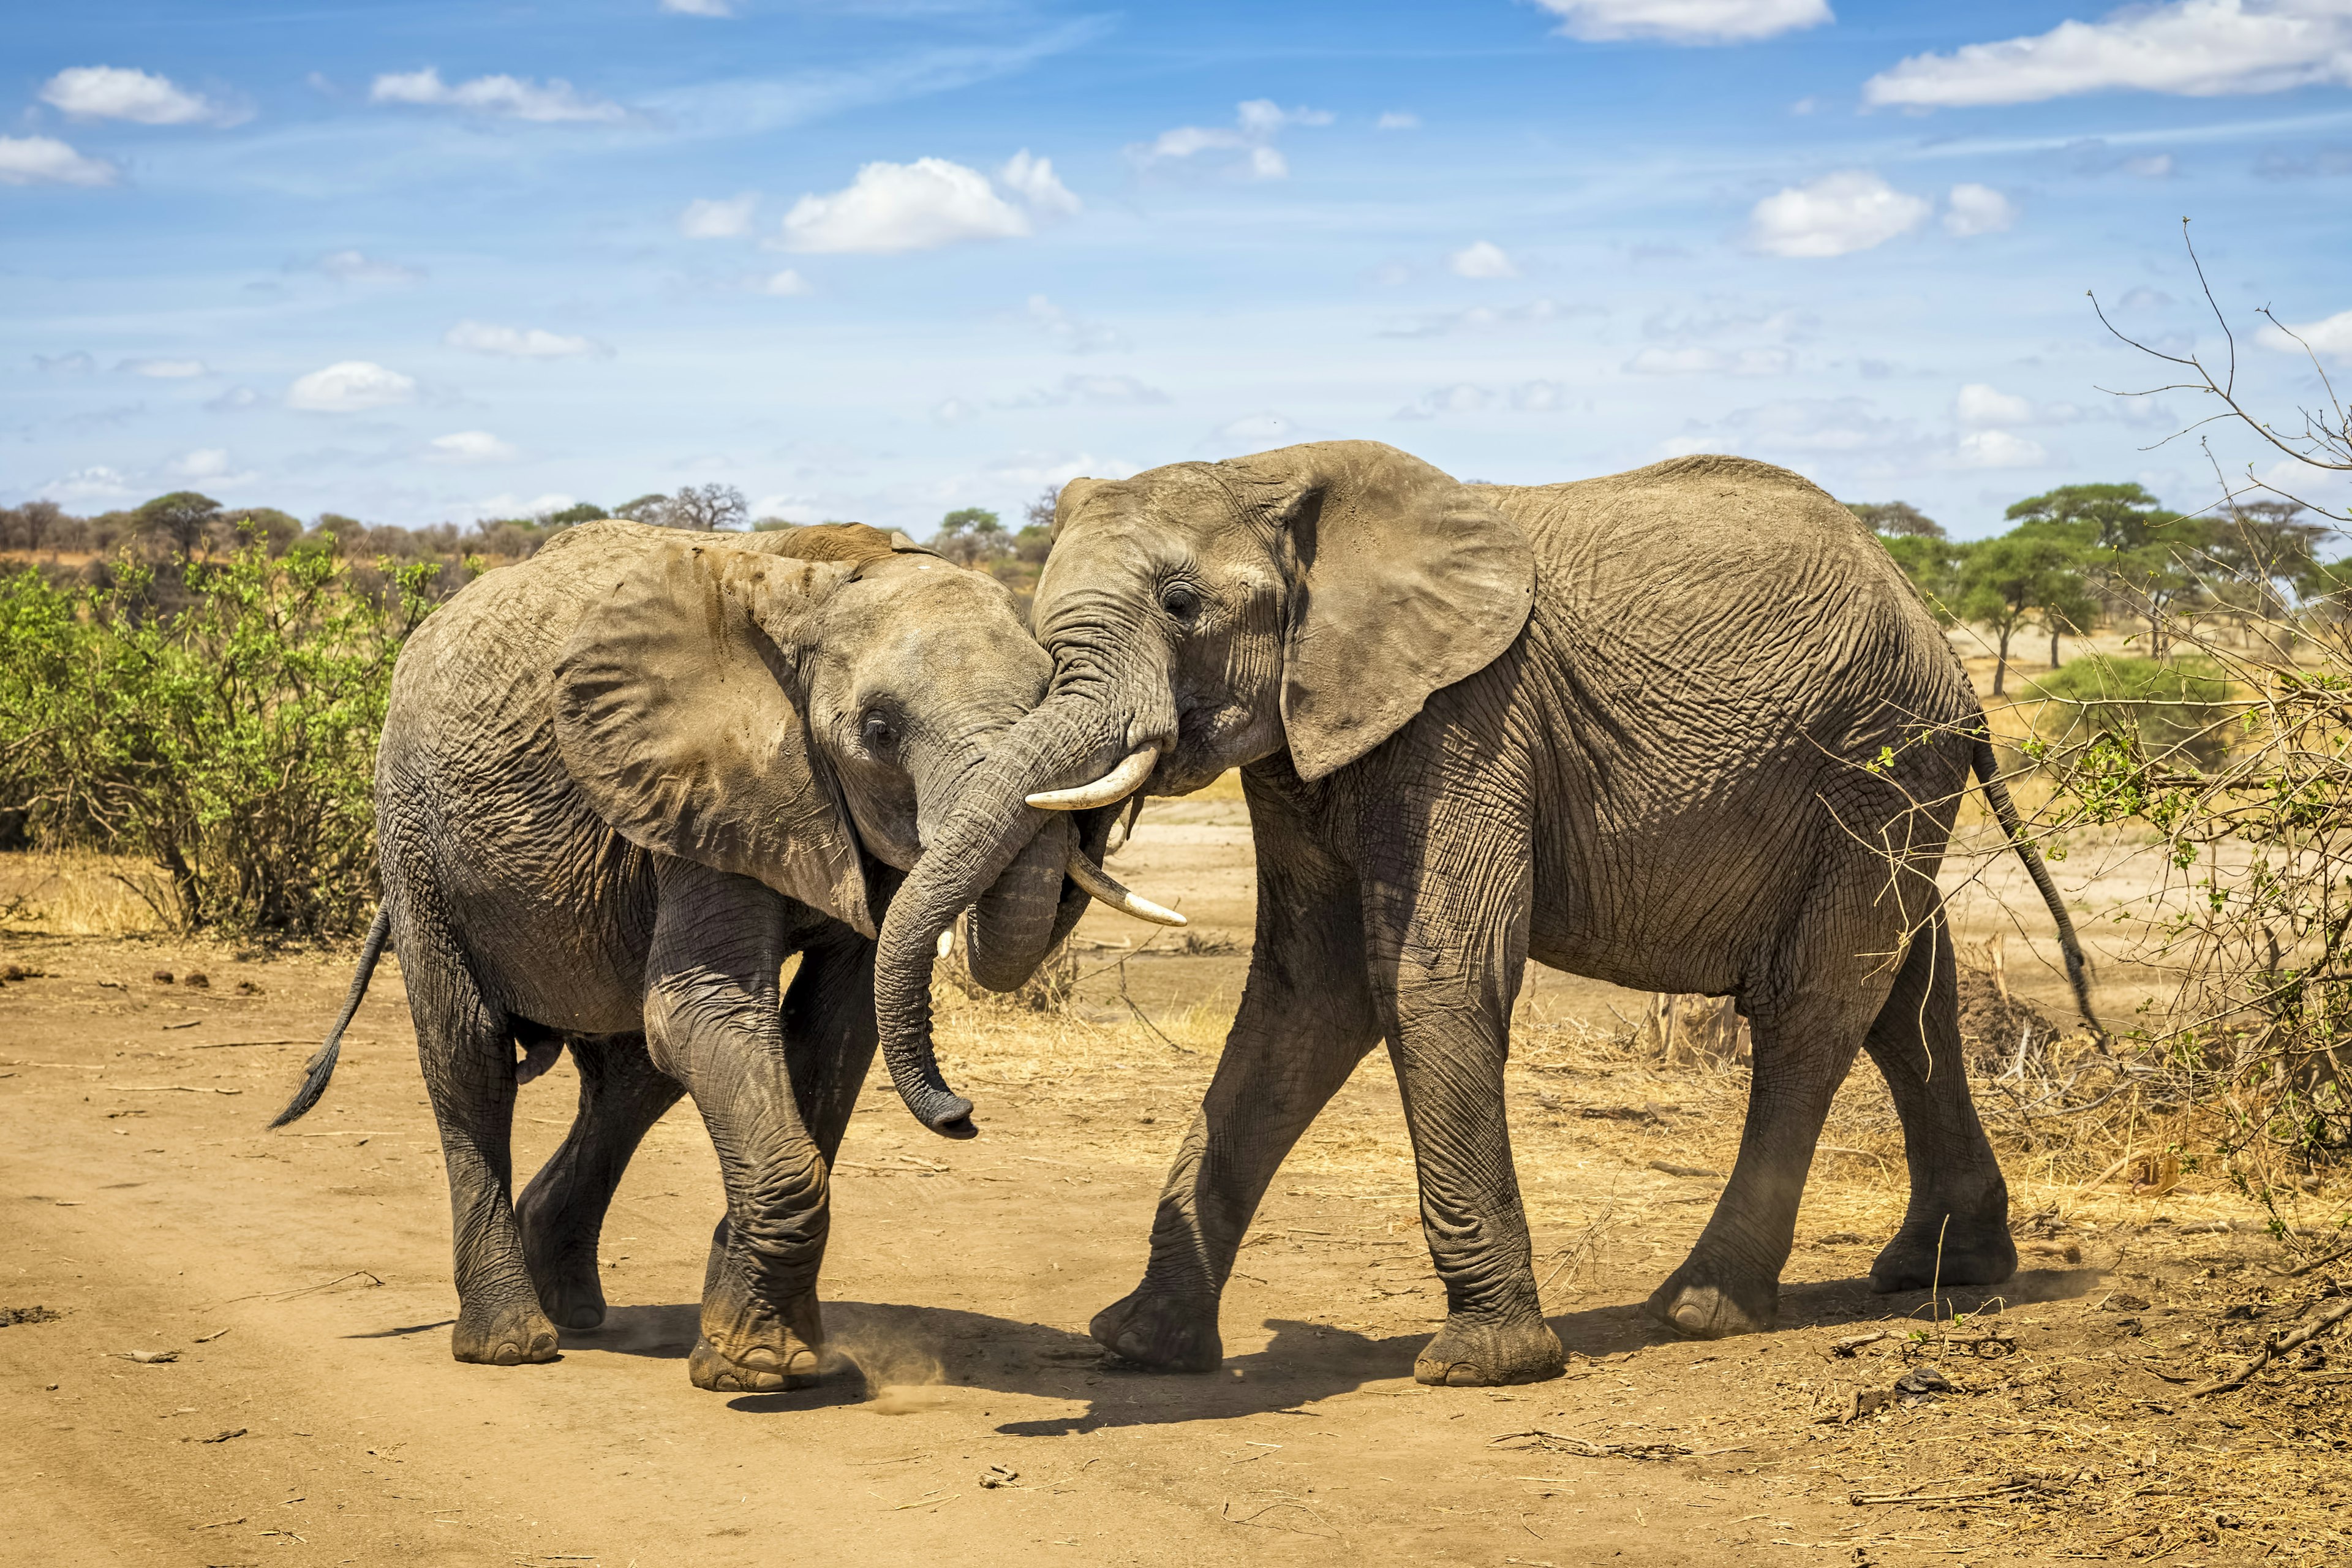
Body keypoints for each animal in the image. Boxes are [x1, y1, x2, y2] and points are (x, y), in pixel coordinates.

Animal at [273, 522, 1176, 1392]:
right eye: (880, 731)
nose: (963, 1116)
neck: (827, 580)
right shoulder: (706, 787)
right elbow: (706, 1011)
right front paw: (763, 1370)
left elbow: (833, 1032)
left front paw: (774, 1356)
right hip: (414, 835)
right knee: (470, 1055)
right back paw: (513, 1345)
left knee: (634, 1078)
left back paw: (574, 1309)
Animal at [884, 439, 2098, 1382]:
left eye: (1181, 608)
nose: (961, 1116)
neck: (1270, 474)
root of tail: (1938, 637)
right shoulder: (1311, 737)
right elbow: (1304, 995)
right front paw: (1141, 1344)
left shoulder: (1467, 717)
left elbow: (1429, 975)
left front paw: (1488, 1365)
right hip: (1888, 775)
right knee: (1908, 992)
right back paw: (1944, 1271)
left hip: (1878, 754)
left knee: (1818, 1001)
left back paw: (1701, 1309)